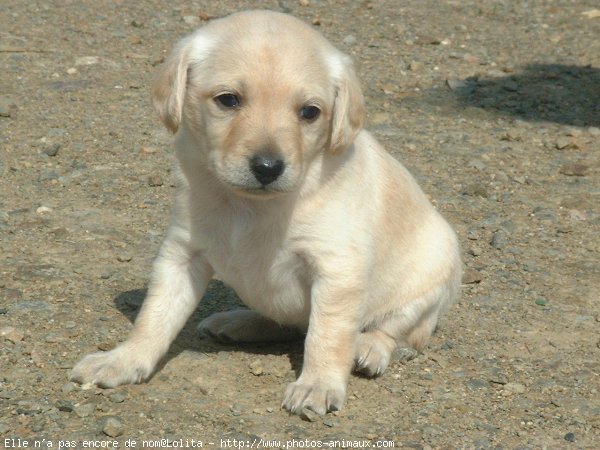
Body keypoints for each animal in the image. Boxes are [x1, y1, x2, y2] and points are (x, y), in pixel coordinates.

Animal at [71, 8, 464, 414]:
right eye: (228, 100)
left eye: (310, 112)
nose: (267, 168)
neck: (249, 207)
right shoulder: (181, 254)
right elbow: (154, 316)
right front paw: (123, 359)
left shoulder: (337, 271)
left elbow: (327, 335)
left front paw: (318, 383)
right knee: (286, 322)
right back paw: (239, 322)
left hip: (429, 281)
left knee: (396, 333)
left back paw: (369, 346)